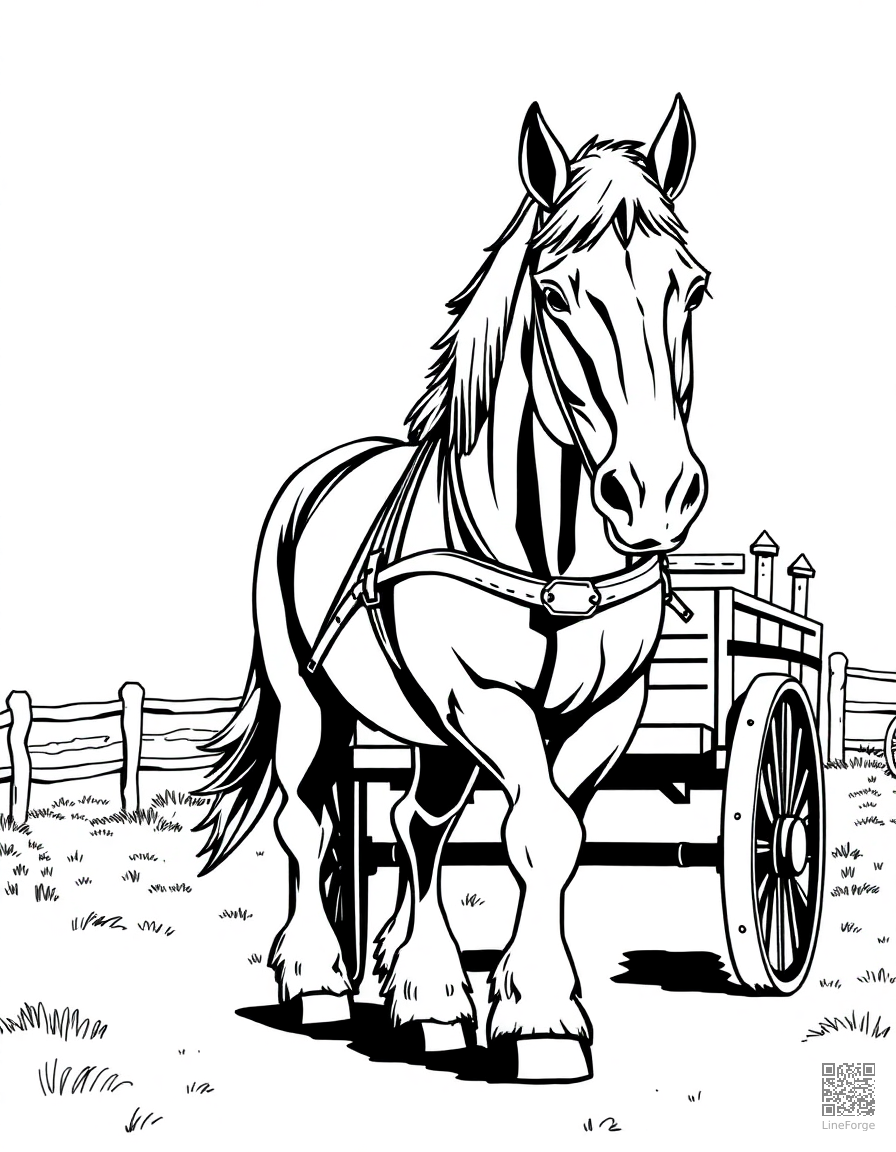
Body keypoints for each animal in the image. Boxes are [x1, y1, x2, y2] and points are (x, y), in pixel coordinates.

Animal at [195, 96, 711, 1083]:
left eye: (693, 289)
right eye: (555, 293)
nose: (657, 495)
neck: (553, 560)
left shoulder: (605, 714)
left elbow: (557, 836)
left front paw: (506, 1000)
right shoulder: (481, 697)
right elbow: (538, 830)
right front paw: (542, 1019)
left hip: (431, 734)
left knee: (414, 824)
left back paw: (422, 993)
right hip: (313, 705)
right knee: (307, 824)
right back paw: (319, 980)